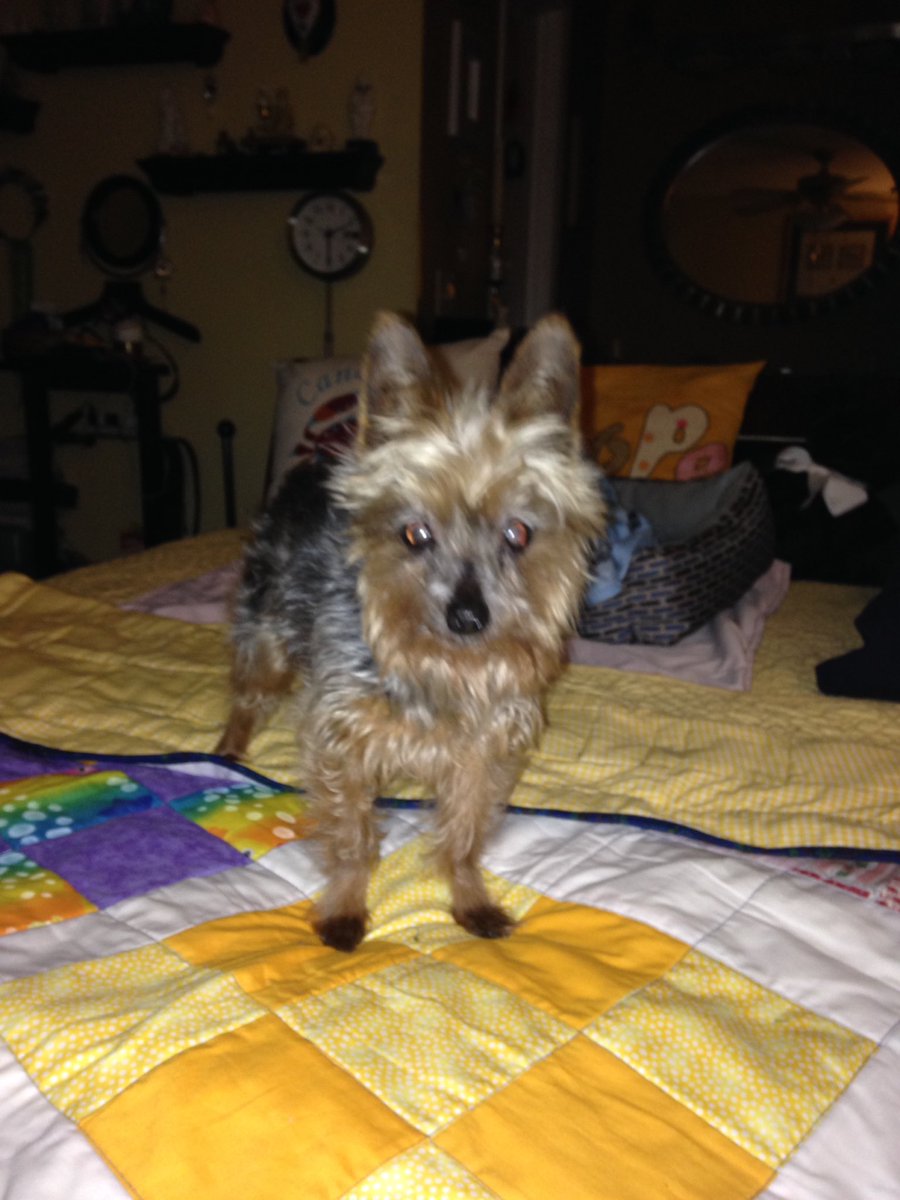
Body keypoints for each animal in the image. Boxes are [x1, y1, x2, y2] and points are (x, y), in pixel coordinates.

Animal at [216, 311, 606, 951]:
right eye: (414, 534)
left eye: (519, 533)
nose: (467, 617)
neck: (442, 665)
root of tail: (309, 467)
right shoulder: (340, 737)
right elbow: (352, 836)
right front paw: (346, 907)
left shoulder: (481, 749)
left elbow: (464, 835)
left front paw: (469, 898)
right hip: (266, 621)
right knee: (250, 688)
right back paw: (228, 748)